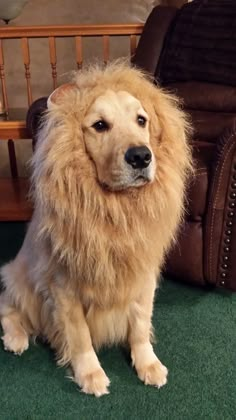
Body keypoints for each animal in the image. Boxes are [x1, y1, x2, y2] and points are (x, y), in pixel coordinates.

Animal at [0, 60, 192, 396]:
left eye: (141, 120)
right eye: (100, 125)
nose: (141, 156)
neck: (117, 212)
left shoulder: (142, 277)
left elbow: (140, 327)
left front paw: (148, 364)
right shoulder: (64, 288)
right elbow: (80, 338)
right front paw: (90, 374)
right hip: (18, 278)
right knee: (6, 307)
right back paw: (16, 338)